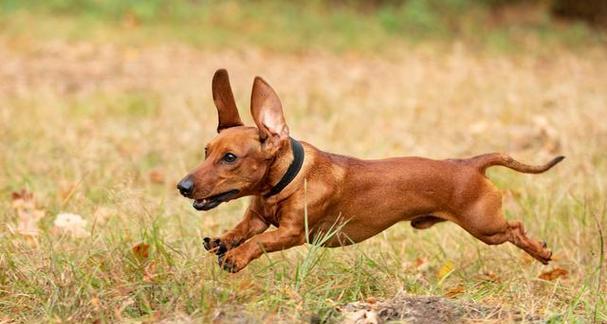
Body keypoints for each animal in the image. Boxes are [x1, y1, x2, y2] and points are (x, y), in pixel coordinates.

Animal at [177, 69, 564, 274]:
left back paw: (540, 251)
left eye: (230, 158)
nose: (183, 186)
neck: (290, 179)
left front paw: (237, 256)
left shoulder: (292, 233)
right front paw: (224, 241)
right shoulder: (258, 216)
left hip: (485, 226)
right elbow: (244, 229)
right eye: (207, 152)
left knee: (514, 228)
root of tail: (470, 163)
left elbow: (260, 242)